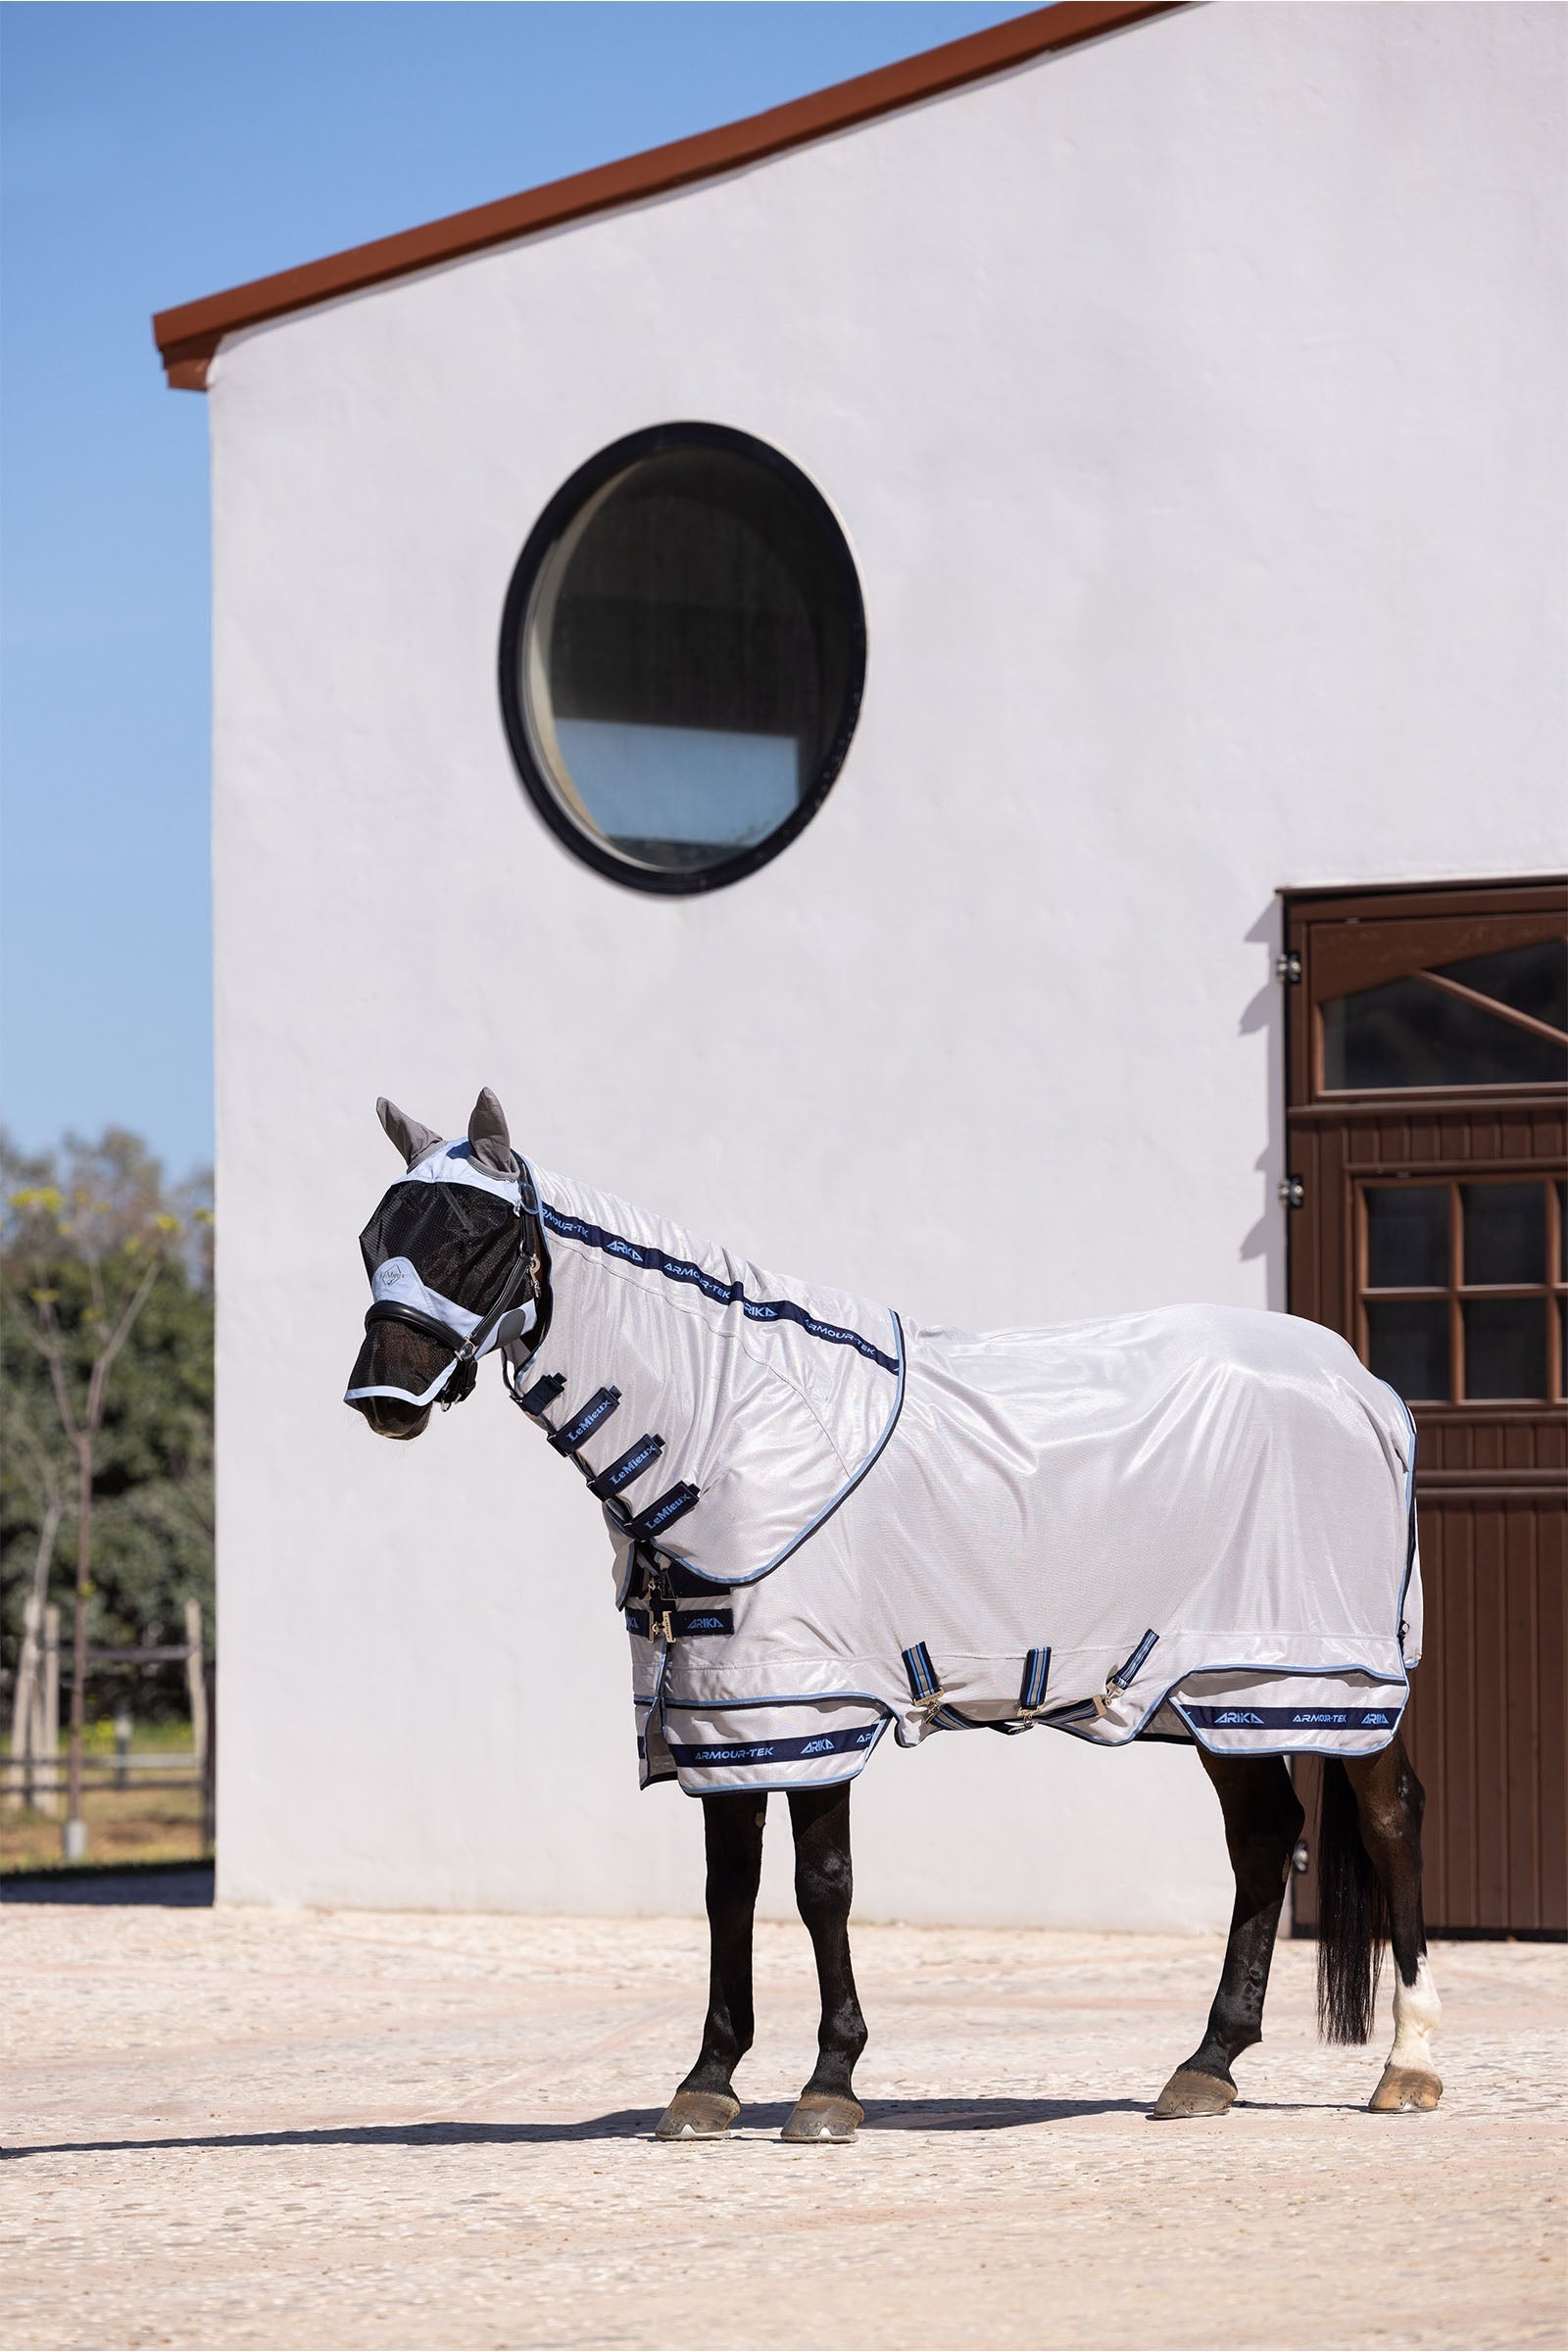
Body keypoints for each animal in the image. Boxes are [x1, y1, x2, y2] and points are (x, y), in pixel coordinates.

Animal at [345, 1088, 1442, 2142]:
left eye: (477, 1236)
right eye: (371, 1237)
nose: (382, 1397)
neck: (735, 1423)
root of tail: (1362, 1385)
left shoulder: (813, 1703)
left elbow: (819, 1885)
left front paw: (828, 2086)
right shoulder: (722, 1714)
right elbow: (727, 1890)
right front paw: (707, 2084)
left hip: (1333, 1678)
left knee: (1387, 1818)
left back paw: (1408, 2067)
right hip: (1217, 1690)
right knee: (1263, 1840)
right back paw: (1206, 2066)